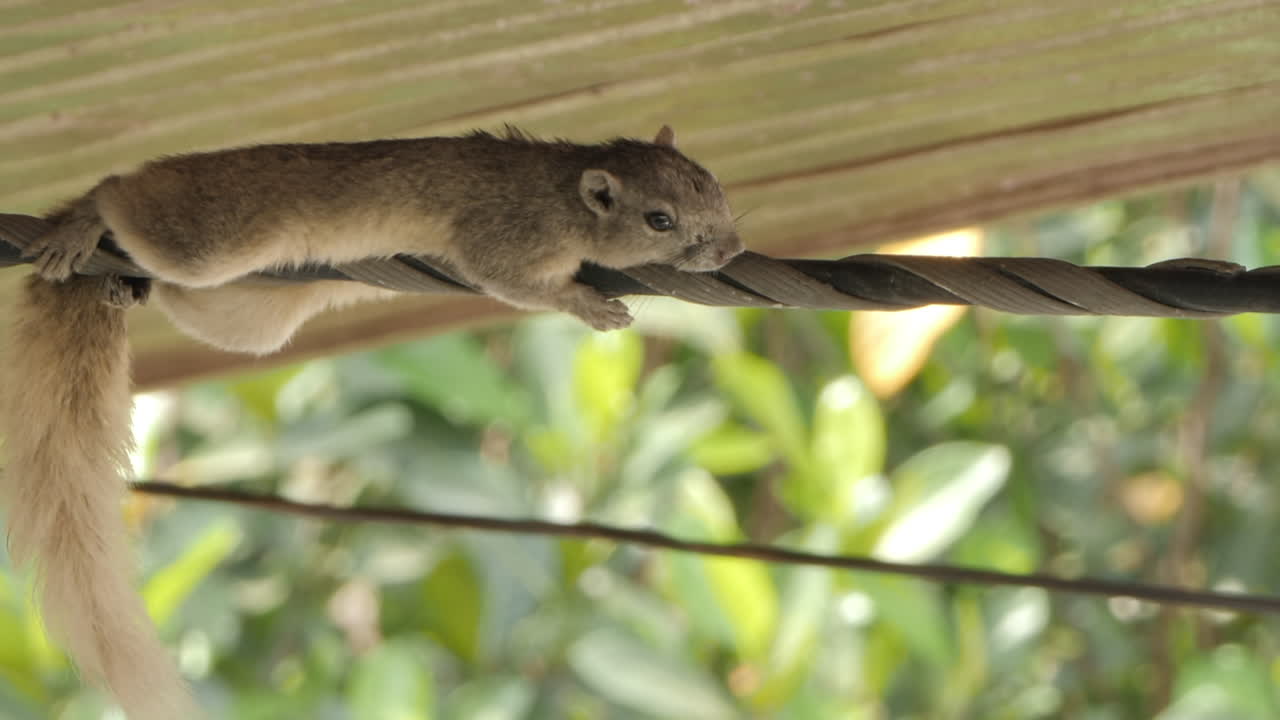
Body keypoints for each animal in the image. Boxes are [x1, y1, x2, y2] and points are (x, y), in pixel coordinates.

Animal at [0, 125, 742, 719]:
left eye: (714, 184)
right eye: (659, 219)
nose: (732, 249)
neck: (561, 191)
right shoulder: (503, 241)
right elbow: (516, 283)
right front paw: (589, 307)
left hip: (250, 314)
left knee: (185, 294)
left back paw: (129, 282)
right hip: (209, 238)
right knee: (119, 193)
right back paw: (85, 221)